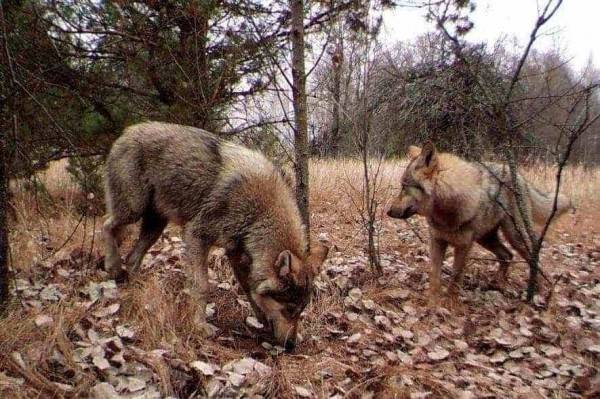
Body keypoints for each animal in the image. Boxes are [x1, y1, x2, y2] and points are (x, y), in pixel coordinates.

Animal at [104, 122, 328, 350]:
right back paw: (112, 266)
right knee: (105, 226)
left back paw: (136, 286)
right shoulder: (196, 235)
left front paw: (262, 320)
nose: (291, 345)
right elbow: (202, 286)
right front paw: (200, 325)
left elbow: (250, 291)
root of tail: (129, 130)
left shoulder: (236, 254)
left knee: (132, 257)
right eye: (289, 309)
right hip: (133, 210)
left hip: (155, 226)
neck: (259, 214)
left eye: (300, 311)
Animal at [390, 142, 572, 298]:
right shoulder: (437, 241)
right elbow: (434, 276)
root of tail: (520, 178)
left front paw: (449, 302)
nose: (388, 211)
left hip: (514, 236)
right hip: (486, 239)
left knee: (533, 258)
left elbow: (455, 277)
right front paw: (432, 303)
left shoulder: (464, 245)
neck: (447, 211)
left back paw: (537, 291)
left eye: (404, 187)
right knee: (507, 255)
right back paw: (497, 284)